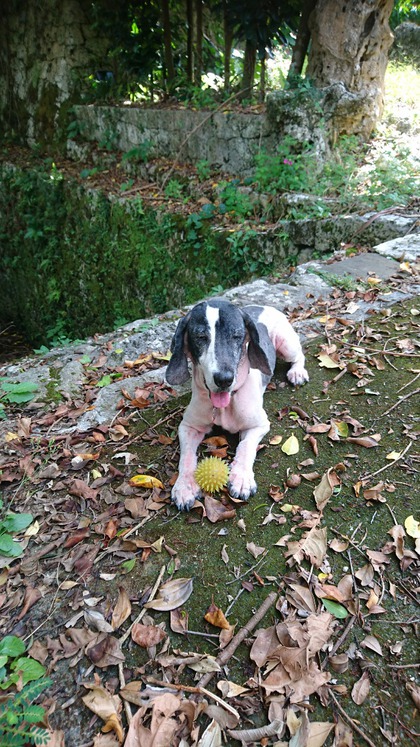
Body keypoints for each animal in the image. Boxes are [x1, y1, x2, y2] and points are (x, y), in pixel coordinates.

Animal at [165, 300, 308, 512]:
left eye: (237, 336)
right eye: (201, 337)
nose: (224, 379)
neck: (226, 404)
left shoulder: (259, 425)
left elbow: (245, 446)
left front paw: (241, 478)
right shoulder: (188, 427)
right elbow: (187, 457)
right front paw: (184, 487)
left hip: (286, 344)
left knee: (299, 355)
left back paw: (297, 372)